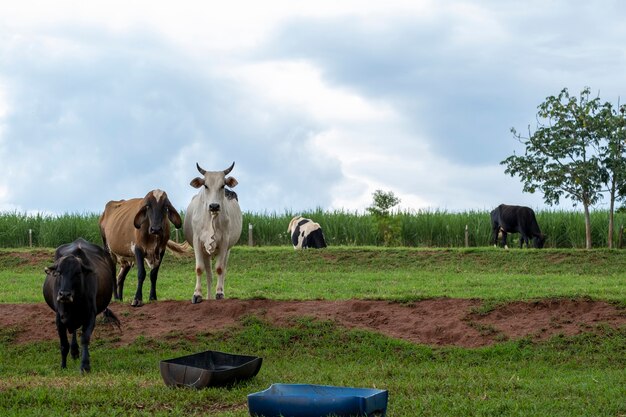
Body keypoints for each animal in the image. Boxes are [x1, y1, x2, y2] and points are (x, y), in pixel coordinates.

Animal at [42, 237, 119, 374]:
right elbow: (64, 344)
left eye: (78, 273)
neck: (73, 304)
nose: (64, 294)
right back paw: (74, 352)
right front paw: (63, 365)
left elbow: (85, 339)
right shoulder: (59, 318)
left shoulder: (90, 316)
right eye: (59, 272)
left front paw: (85, 365)